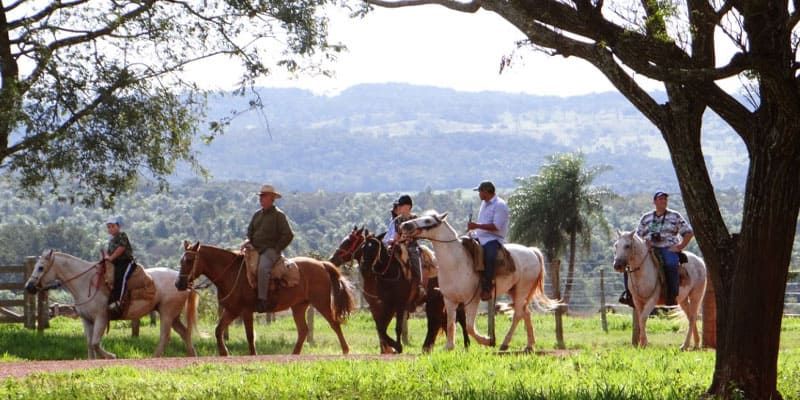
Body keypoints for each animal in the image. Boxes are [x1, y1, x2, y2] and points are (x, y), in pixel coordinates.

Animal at [23, 250, 198, 360]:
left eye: (41, 267)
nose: (29, 287)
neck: (85, 282)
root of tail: (182, 282)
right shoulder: (87, 320)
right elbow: (89, 343)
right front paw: (92, 360)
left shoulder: (101, 318)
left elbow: (95, 343)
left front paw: (111, 356)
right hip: (173, 316)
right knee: (184, 333)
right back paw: (192, 355)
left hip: (167, 313)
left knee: (165, 336)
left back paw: (155, 357)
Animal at [177, 242, 354, 354]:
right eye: (181, 260)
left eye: (190, 260)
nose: (179, 284)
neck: (231, 273)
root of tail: (322, 265)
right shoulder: (232, 311)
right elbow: (218, 330)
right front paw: (224, 353)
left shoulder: (246, 311)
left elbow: (250, 336)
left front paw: (252, 354)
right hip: (299, 306)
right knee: (303, 330)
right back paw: (294, 354)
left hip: (321, 302)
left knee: (334, 324)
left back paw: (346, 351)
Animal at [330, 228, 468, 354]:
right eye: (363, 247)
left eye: (349, 242)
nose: (333, 258)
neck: (388, 273)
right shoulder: (382, 306)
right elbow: (381, 327)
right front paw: (389, 348)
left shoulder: (399, 305)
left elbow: (396, 328)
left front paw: (396, 347)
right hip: (434, 301)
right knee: (436, 321)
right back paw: (427, 348)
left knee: (456, 318)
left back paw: (465, 345)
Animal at [398, 211, 556, 352]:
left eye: (428, 221)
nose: (405, 225)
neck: (456, 262)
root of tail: (532, 251)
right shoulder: (449, 300)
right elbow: (450, 323)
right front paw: (449, 347)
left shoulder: (471, 300)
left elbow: (469, 326)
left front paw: (487, 340)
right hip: (514, 291)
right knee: (526, 313)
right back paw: (529, 345)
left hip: (522, 289)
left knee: (518, 314)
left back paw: (505, 344)